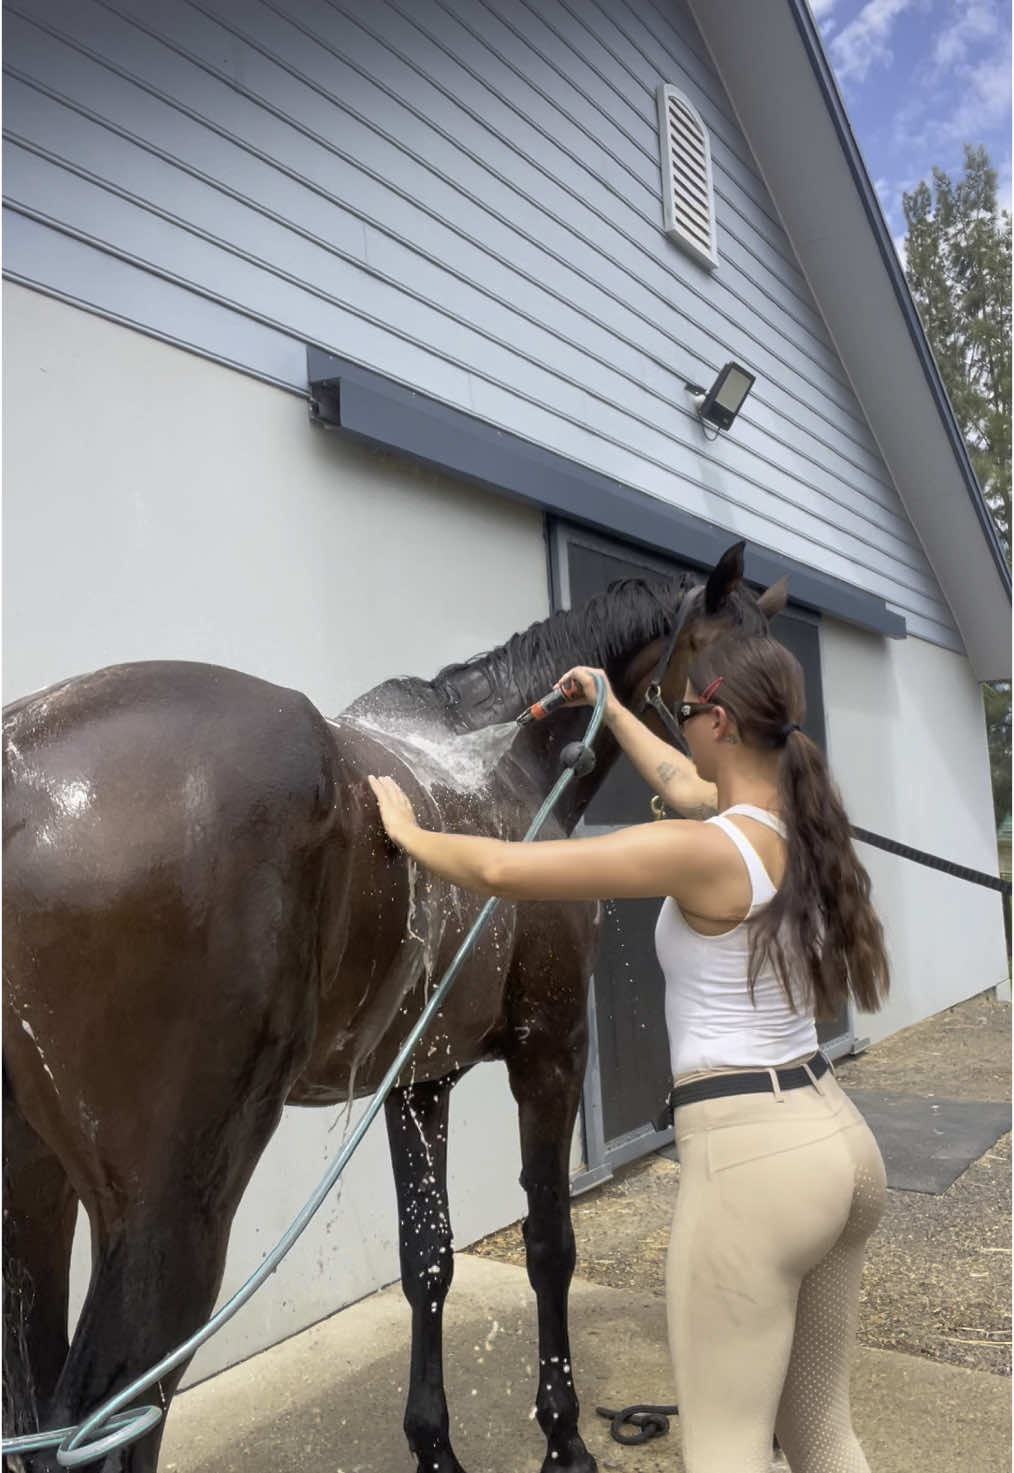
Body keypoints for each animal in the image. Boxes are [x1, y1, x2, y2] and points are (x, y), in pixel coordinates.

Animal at [3, 540, 786, 1473]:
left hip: (33, 1194)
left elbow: (429, 1261)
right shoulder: (552, 1052)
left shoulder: (418, 1083)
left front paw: (434, 1445)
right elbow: (548, 1241)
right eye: (727, 681)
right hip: (170, 1207)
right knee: (103, 1422)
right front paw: (563, 1436)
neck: (510, 767)